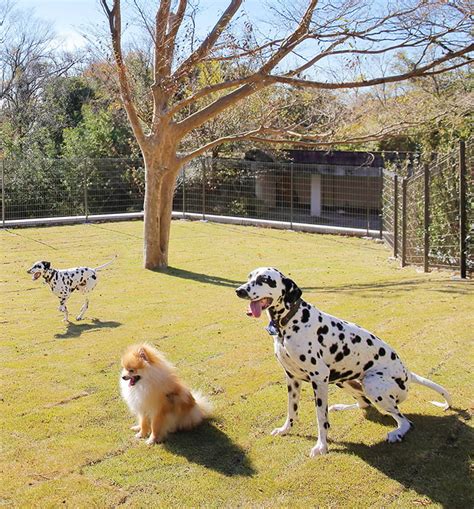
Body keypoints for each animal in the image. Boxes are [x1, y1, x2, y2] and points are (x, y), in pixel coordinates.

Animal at [237, 270, 452, 456]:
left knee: (404, 421)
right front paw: (285, 429)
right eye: (249, 276)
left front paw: (321, 446)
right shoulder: (292, 379)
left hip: (372, 384)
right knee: (364, 403)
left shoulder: (319, 379)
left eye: (265, 279)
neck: (290, 321)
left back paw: (396, 433)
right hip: (342, 380)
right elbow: (292, 410)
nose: (239, 290)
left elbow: (321, 418)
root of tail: (407, 372)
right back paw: (341, 407)